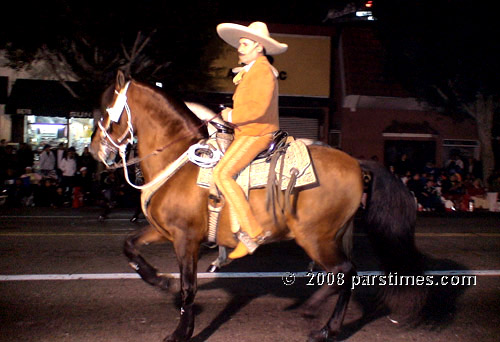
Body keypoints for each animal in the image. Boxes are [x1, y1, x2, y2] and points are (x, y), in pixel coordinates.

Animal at [91, 70, 426, 342]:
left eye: (107, 111)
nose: (94, 150)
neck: (180, 160)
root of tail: (356, 163)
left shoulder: (186, 238)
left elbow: (189, 286)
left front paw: (181, 331)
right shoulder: (166, 231)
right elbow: (130, 246)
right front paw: (161, 281)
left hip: (314, 237)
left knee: (343, 272)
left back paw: (316, 318)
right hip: (331, 235)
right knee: (346, 274)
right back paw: (323, 322)